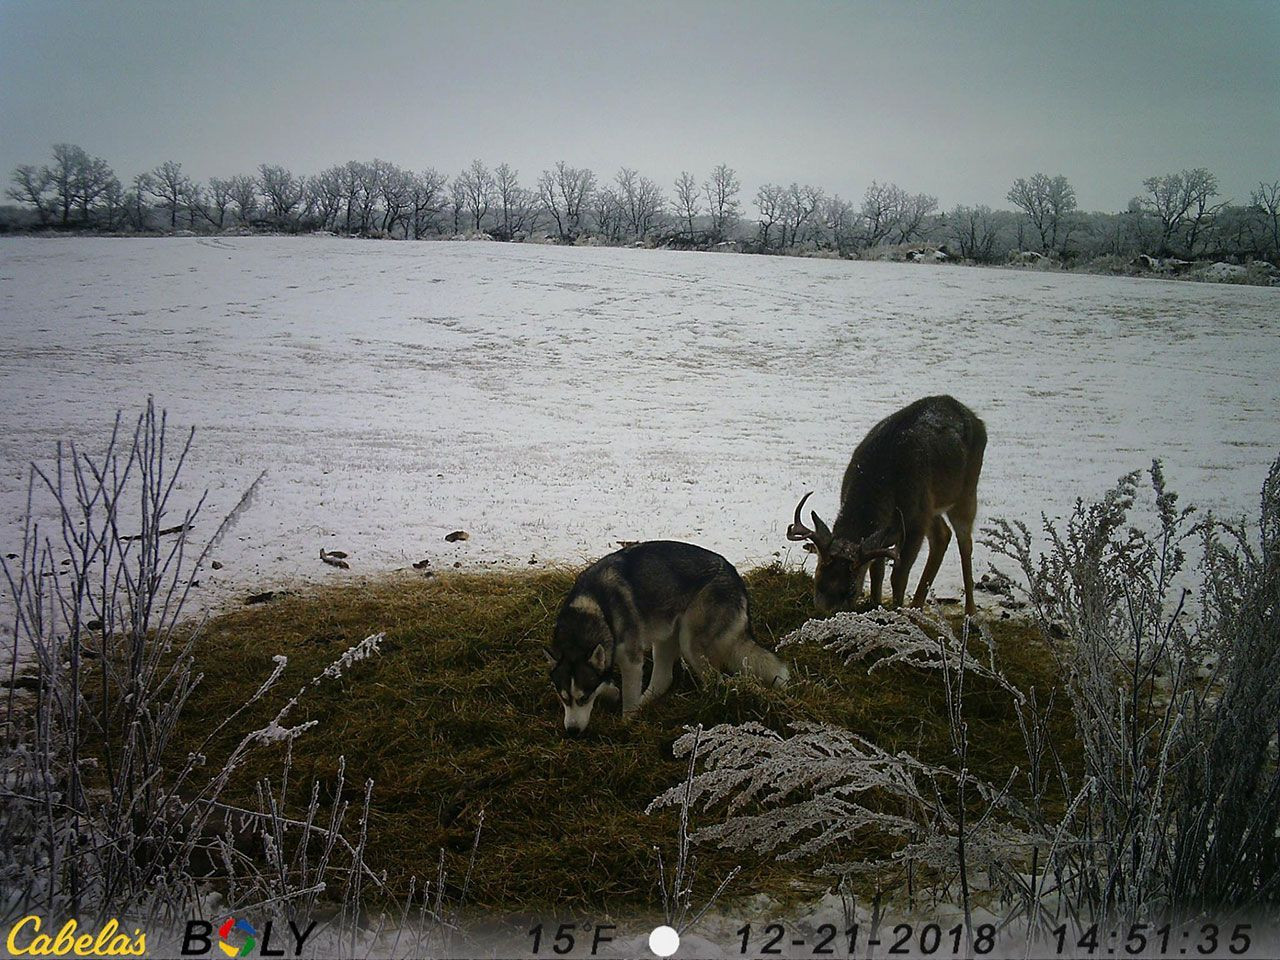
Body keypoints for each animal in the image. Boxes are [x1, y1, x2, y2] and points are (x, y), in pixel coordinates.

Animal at [542, 542, 783, 737]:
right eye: (563, 698)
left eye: (583, 698)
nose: (572, 731)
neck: (595, 608)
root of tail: (735, 575)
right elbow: (610, 686)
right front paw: (613, 693)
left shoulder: (631, 660)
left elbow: (628, 696)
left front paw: (626, 723)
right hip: (665, 636)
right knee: (663, 679)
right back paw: (646, 703)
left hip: (689, 642)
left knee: (716, 680)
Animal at [783, 396, 983, 616]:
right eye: (817, 581)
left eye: (850, 591)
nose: (826, 613)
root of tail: (975, 418)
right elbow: (876, 571)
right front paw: (875, 604)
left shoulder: (914, 524)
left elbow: (898, 576)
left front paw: (897, 611)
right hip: (932, 507)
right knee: (942, 535)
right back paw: (917, 605)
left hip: (966, 490)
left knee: (965, 543)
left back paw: (970, 611)